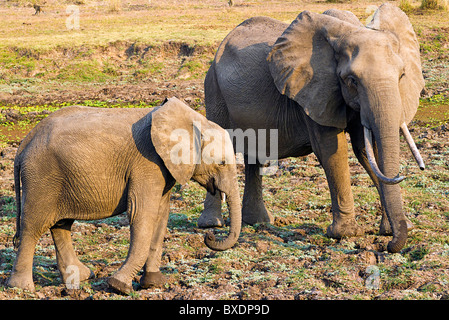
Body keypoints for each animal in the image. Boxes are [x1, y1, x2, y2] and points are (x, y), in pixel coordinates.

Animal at [7, 97, 240, 296]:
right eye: (221, 163)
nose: (209, 236)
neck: (193, 120)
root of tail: (25, 143)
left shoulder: (164, 169)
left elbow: (161, 215)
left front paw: (153, 283)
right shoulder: (147, 163)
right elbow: (142, 214)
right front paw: (119, 286)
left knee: (60, 225)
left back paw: (82, 277)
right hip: (41, 177)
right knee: (33, 227)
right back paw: (22, 288)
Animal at [199, 2, 424, 252]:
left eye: (402, 75)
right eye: (352, 80)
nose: (388, 246)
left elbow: (367, 149)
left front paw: (394, 230)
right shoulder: (313, 90)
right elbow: (332, 150)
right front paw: (344, 234)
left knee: (253, 156)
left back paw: (259, 221)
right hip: (214, 90)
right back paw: (211, 225)